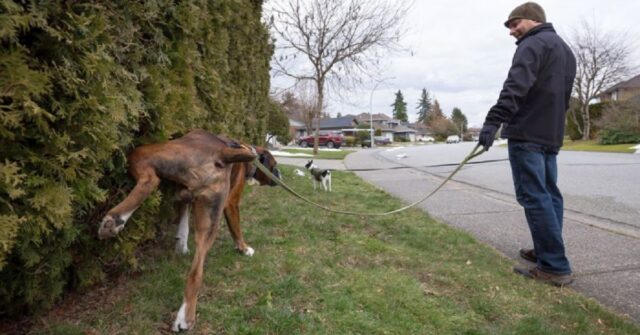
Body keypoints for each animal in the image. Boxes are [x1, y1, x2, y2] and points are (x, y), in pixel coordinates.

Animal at [97, 130, 280, 332]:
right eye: (274, 165)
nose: (279, 175)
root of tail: (222, 152)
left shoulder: (225, 202)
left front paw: (242, 247)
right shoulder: (214, 201)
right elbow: (189, 220)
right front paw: (183, 244)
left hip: (145, 152)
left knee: (150, 179)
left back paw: (115, 219)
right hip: (210, 217)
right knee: (196, 272)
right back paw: (186, 316)